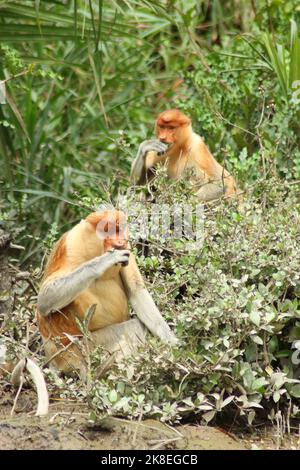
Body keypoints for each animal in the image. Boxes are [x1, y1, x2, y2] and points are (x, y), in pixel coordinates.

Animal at [37, 207, 178, 376]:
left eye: (119, 229)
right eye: (107, 230)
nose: (120, 241)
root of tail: (53, 359)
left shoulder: (128, 248)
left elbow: (137, 291)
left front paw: (173, 344)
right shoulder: (71, 245)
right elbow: (45, 300)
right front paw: (106, 260)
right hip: (78, 351)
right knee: (133, 328)